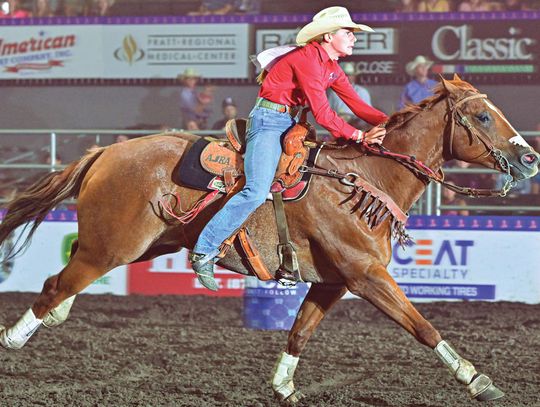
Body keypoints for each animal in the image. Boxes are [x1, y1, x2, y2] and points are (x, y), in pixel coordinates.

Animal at [0, 77, 536, 404]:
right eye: (482, 118)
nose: (530, 159)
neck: (364, 179)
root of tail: (106, 151)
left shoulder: (332, 282)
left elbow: (299, 331)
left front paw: (283, 386)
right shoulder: (366, 275)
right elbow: (422, 326)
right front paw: (477, 379)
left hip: (143, 244)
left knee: (68, 275)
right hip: (113, 245)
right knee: (55, 284)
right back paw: (14, 337)